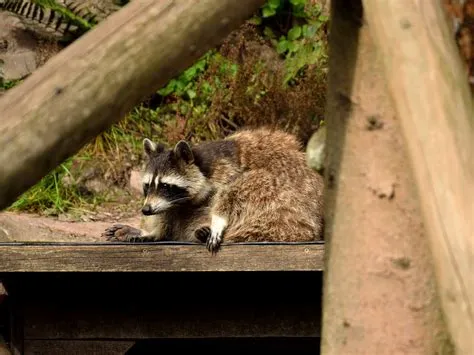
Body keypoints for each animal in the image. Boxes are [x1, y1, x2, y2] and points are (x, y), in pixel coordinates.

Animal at [103, 128, 326, 253]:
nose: (146, 210)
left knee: (253, 183)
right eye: (147, 185)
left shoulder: (227, 172)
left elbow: (230, 193)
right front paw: (151, 232)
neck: (203, 164)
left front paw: (218, 220)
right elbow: (168, 213)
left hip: (288, 213)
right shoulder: (172, 202)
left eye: (166, 186)